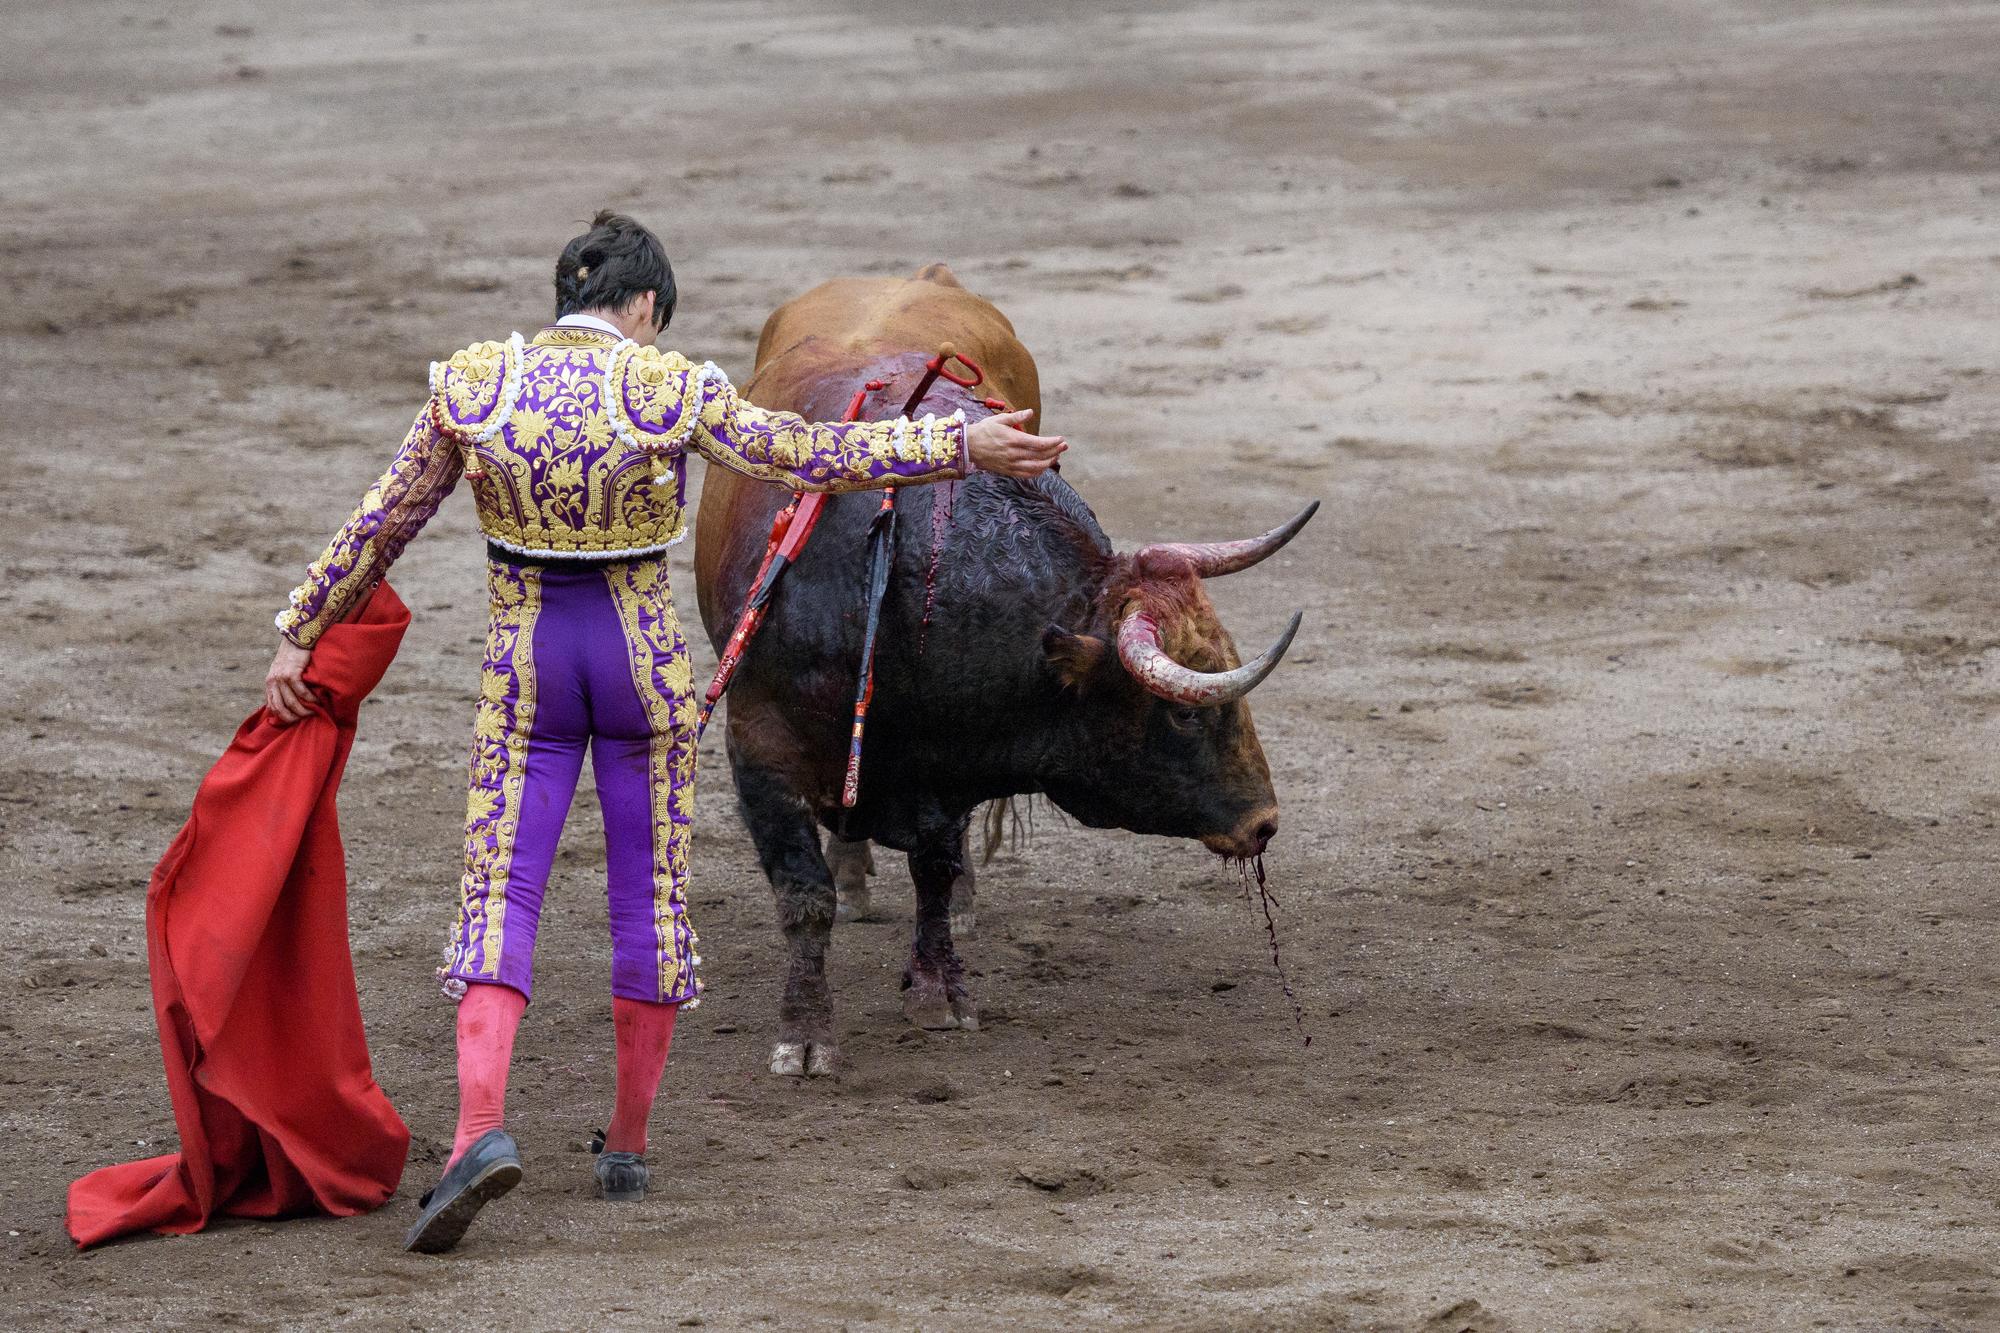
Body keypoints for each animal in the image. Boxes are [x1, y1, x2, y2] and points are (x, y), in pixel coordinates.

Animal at [692, 264, 1312, 1072]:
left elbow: (933, 867)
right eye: (1180, 710)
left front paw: (938, 990)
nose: (1263, 823)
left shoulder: (949, 760)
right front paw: (804, 1035)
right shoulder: (761, 750)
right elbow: (804, 897)